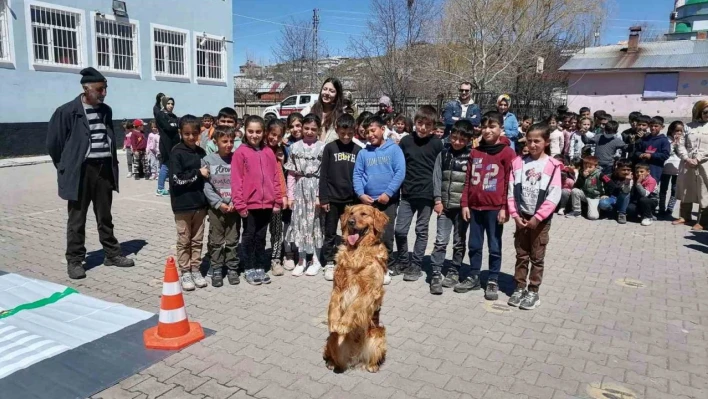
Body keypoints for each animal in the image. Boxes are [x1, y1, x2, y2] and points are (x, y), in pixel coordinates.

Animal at [324, 205, 390, 374]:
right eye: (351, 213)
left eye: (364, 214)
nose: (351, 222)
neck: (357, 251)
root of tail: (355, 358)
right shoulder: (338, 286)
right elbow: (333, 305)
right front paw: (334, 322)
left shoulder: (370, 291)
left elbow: (354, 306)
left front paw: (343, 324)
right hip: (332, 340)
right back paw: (332, 363)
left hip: (379, 335)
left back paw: (372, 366)